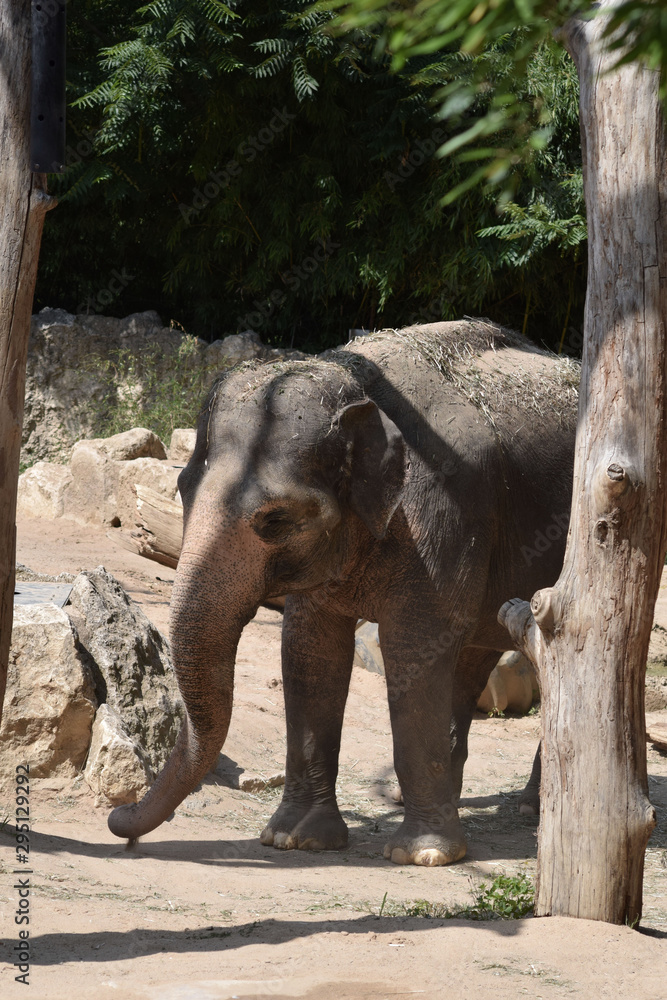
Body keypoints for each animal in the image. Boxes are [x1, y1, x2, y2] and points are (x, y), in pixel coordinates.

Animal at [108, 319, 578, 865]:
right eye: (182, 490)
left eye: (276, 520)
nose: (120, 820)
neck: (356, 382)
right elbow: (310, 648)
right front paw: (295, 839)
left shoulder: (446, 509)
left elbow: (413, 647)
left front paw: (423, 855)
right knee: (475, 649)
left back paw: (530, 808)